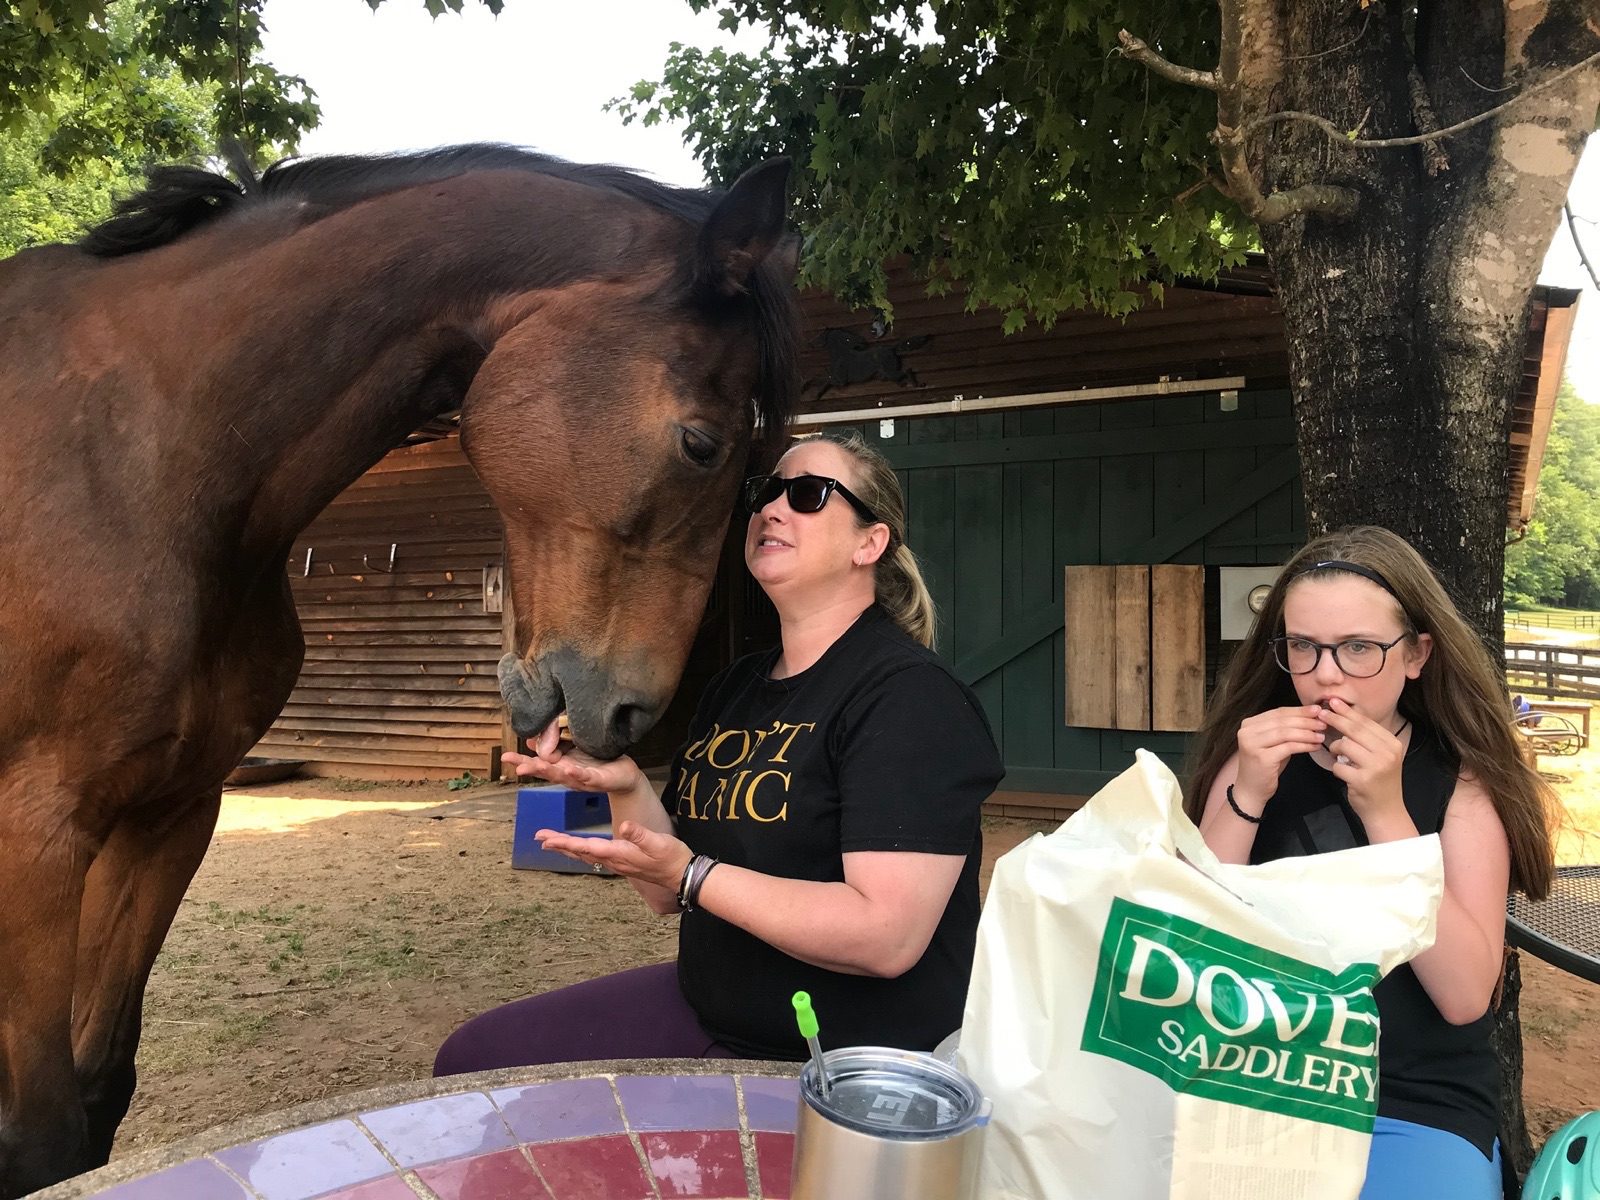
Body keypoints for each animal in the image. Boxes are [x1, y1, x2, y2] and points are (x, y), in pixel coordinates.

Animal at [0, 144, 799, 1197]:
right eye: (702, 444)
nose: (631, 713)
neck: (136, 459)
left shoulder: (167, 816)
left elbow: (98, 1094)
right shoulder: (36, 835)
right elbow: (43, 1138)